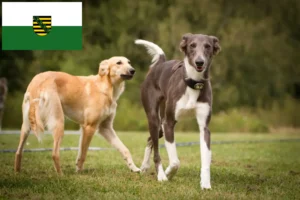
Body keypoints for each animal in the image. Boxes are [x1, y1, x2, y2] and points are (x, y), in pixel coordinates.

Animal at [135, 33, 220, 189]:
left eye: (208, 46)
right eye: (192, 45)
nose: (200, 62)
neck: (193, 83)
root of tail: (160, 64)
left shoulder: (204, 127)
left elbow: (206, 159)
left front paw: (205, 184)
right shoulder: (168, 123)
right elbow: (175, 161)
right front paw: (168, 173)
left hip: (161, 123)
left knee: (150, 139)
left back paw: (144, 167)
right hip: (154, 118)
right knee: (156, 150)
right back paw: (160, 174)